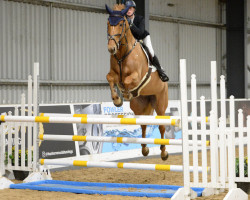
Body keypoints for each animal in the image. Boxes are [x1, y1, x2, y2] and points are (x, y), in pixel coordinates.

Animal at [104, 3, 169, 161]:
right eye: (108, 23)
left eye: (121, 24)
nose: (111, 48)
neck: (122, 53)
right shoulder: (113, 74)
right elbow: (110, 78)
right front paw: (117, 99)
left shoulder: (136, 76)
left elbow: (127, 80)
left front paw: (126, 94)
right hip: (140, 105)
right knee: (143, 125)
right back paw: (145, 149)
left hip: (160, 102)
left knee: (162, 125)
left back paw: (164, 152)